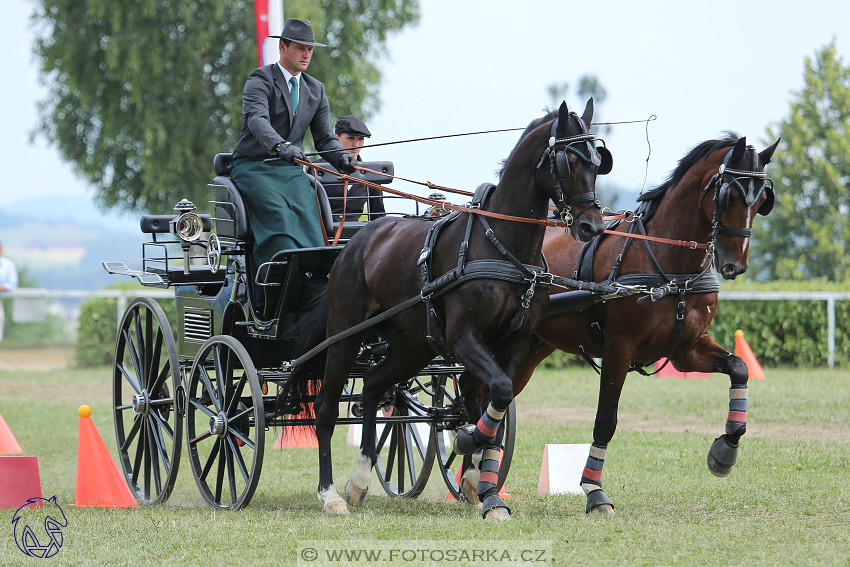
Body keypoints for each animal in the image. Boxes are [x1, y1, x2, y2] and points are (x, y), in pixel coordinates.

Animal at [288, 98, 612, 520]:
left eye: (598, 161)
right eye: (567, 162)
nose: (592, 226)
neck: (502, 246)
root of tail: (356, 242)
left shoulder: (514, 344)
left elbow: (491, 402)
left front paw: (480, 480)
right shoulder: (463, 340)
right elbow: (496, 394)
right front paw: (470, 447)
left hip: (413, 345)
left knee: (373, 387)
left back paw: (359, 480)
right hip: (345, 336)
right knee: (326, 408)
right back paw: (330, 494)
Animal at [454, 134, 780, 516]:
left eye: (762, 200)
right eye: (729, 194)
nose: (734, 265)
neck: (668, 264)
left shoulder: (686, 349)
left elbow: (739, 367)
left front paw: (725, 450)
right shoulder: (618, 349)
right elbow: (605, 419)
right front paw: (594, 491)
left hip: (530, 347)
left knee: (488, 391)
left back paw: (475, 467)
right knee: (478, 388)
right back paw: (473, 459)